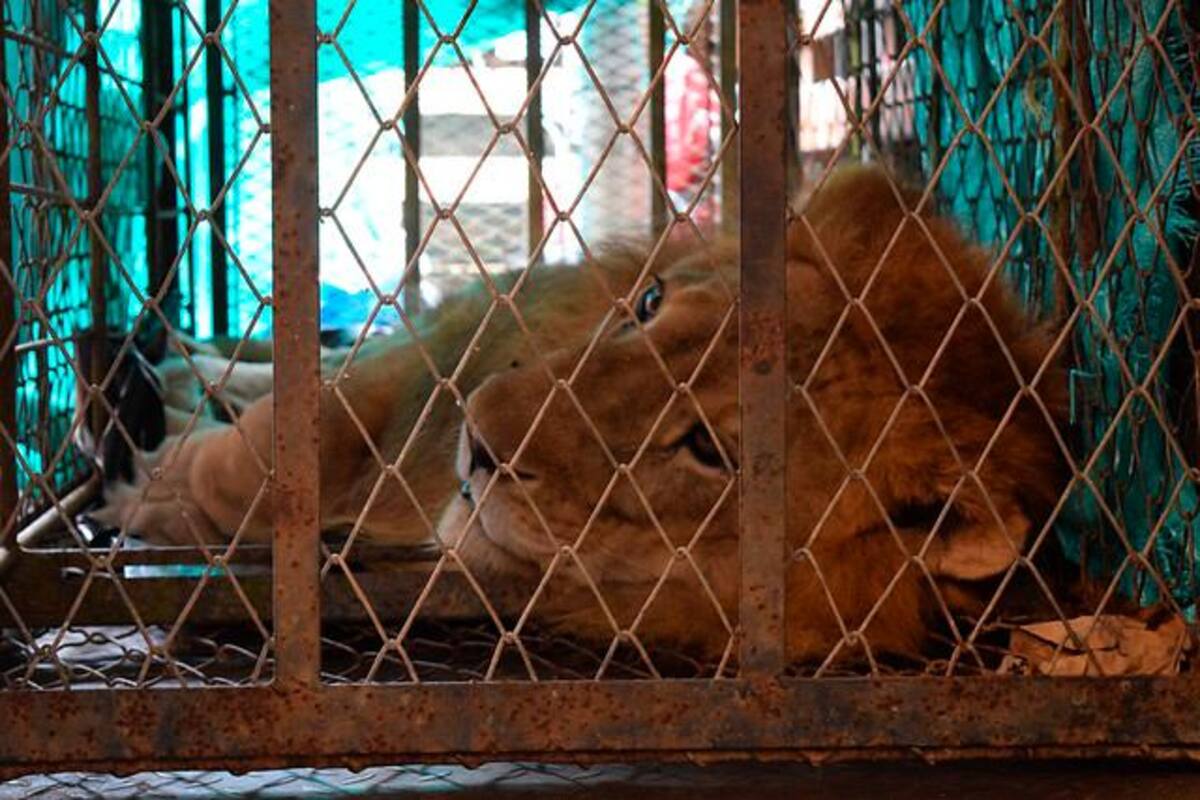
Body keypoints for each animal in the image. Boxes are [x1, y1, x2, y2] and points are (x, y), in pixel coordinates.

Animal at [92, 165, 1070, 669]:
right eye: (649, 304)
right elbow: (293, 435)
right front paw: (158, 484)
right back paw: (181, 370)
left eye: (708, 448)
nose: (477, 441)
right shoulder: (445, 353)